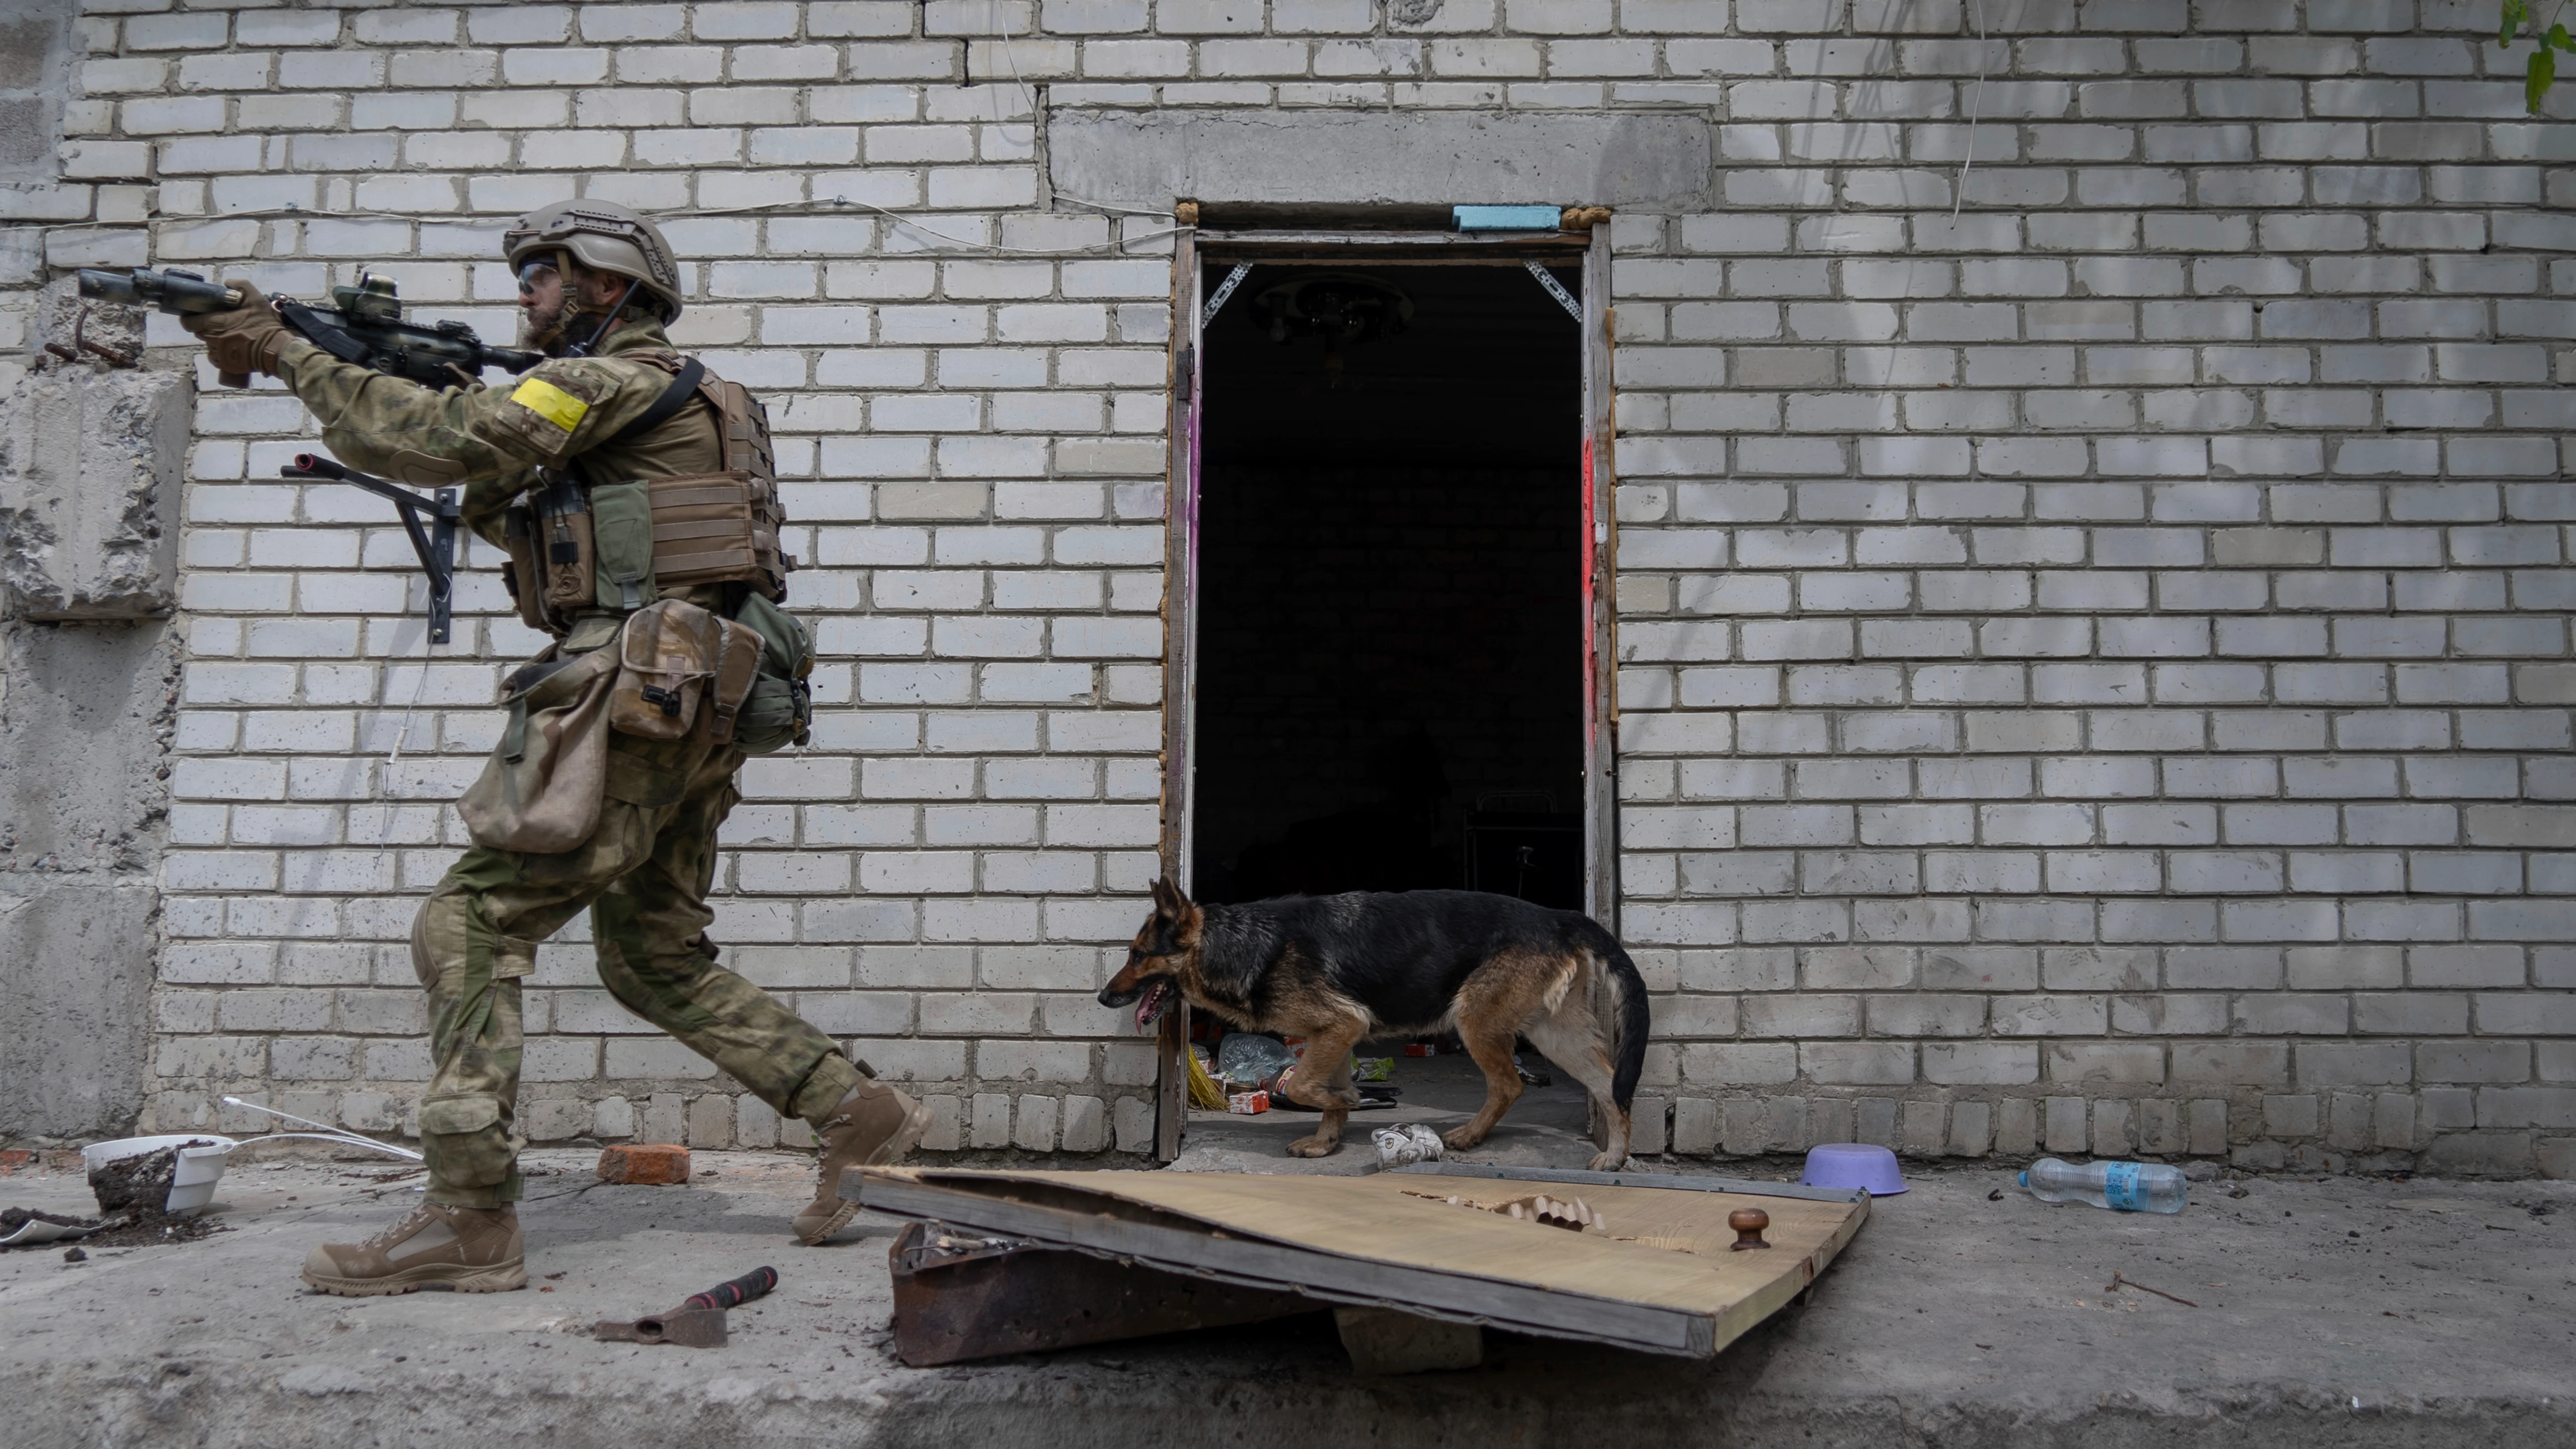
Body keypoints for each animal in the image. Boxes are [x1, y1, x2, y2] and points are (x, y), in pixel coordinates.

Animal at [1092, 880, 1649, 1173]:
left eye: (1137, 955)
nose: (1101, 998)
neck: (1241, 943)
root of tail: (1557, 917)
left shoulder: (1342, 1024)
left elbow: (1303, 1085)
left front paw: (1345, 1104)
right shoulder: (1335, 1034)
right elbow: (1321, 1091)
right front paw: (1327, 1139)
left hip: (1474, 1019)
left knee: (1510, 1083)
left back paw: (1470, 1135)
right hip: (1553, 1033)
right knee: (1609, 1084)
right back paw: (1615, 1155)